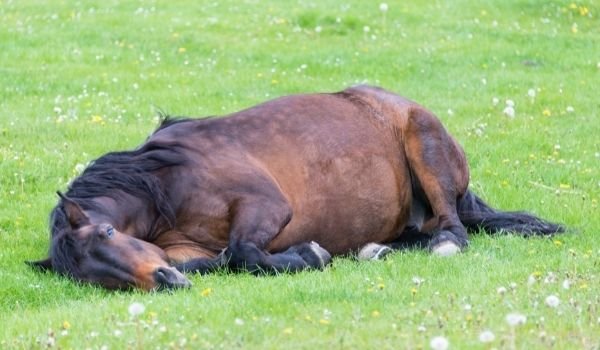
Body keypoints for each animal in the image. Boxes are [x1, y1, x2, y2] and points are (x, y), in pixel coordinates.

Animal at [27, 86, 564, 292]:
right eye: (97, 279)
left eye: (108, 233)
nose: (164, 281)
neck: (165, 184)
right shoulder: (179, 249)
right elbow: (226, 258)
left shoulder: (265, 205)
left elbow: (244, 251)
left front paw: (309, 254)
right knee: (417, 232)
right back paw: (373, 250)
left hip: (425, 145)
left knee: (451, 225)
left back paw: (443, 243)